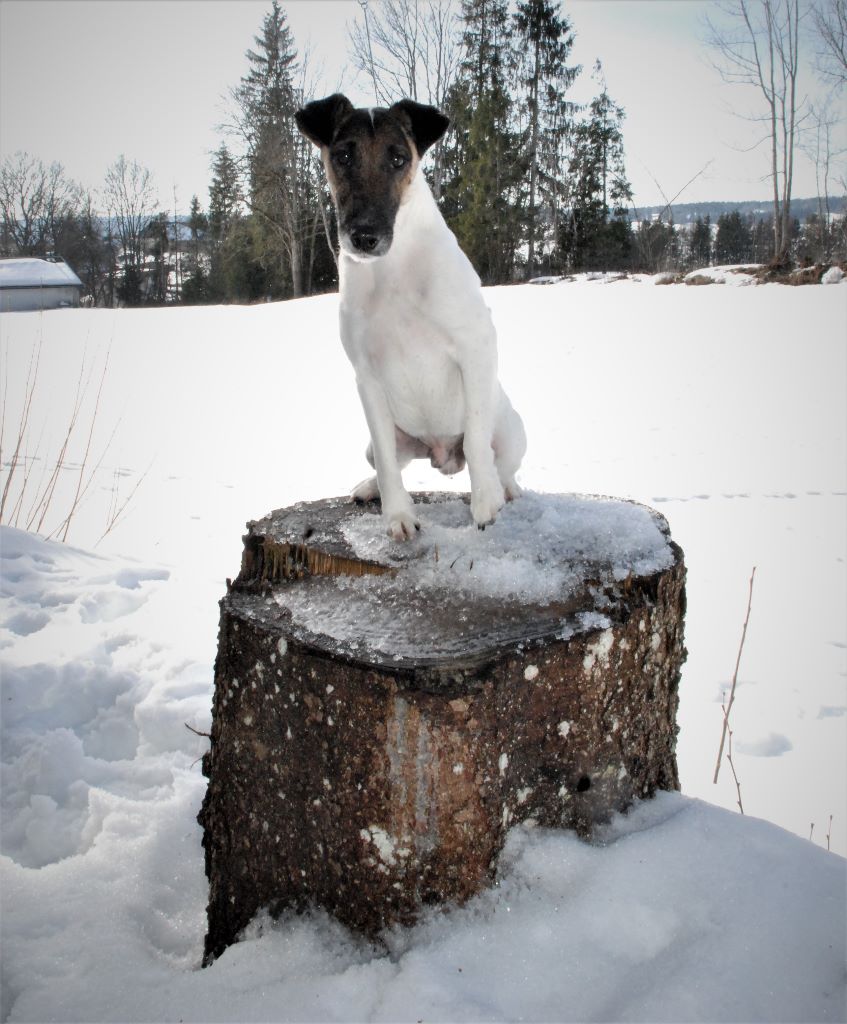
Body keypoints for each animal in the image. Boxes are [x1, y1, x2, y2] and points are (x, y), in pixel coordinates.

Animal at [297, 94, 524, 544]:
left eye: (398, 158)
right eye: (343, 155)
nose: (365, 237)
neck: (393, 270)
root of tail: (438, 454)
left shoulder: (475, 346)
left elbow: (476, 441)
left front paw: (485, 503)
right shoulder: (366, 376)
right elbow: (388, 464)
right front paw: (398, 516)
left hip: (512, 430)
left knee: (499, 462)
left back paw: (503, 488)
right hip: (381, 437)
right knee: (390, 462)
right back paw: (370, 488)